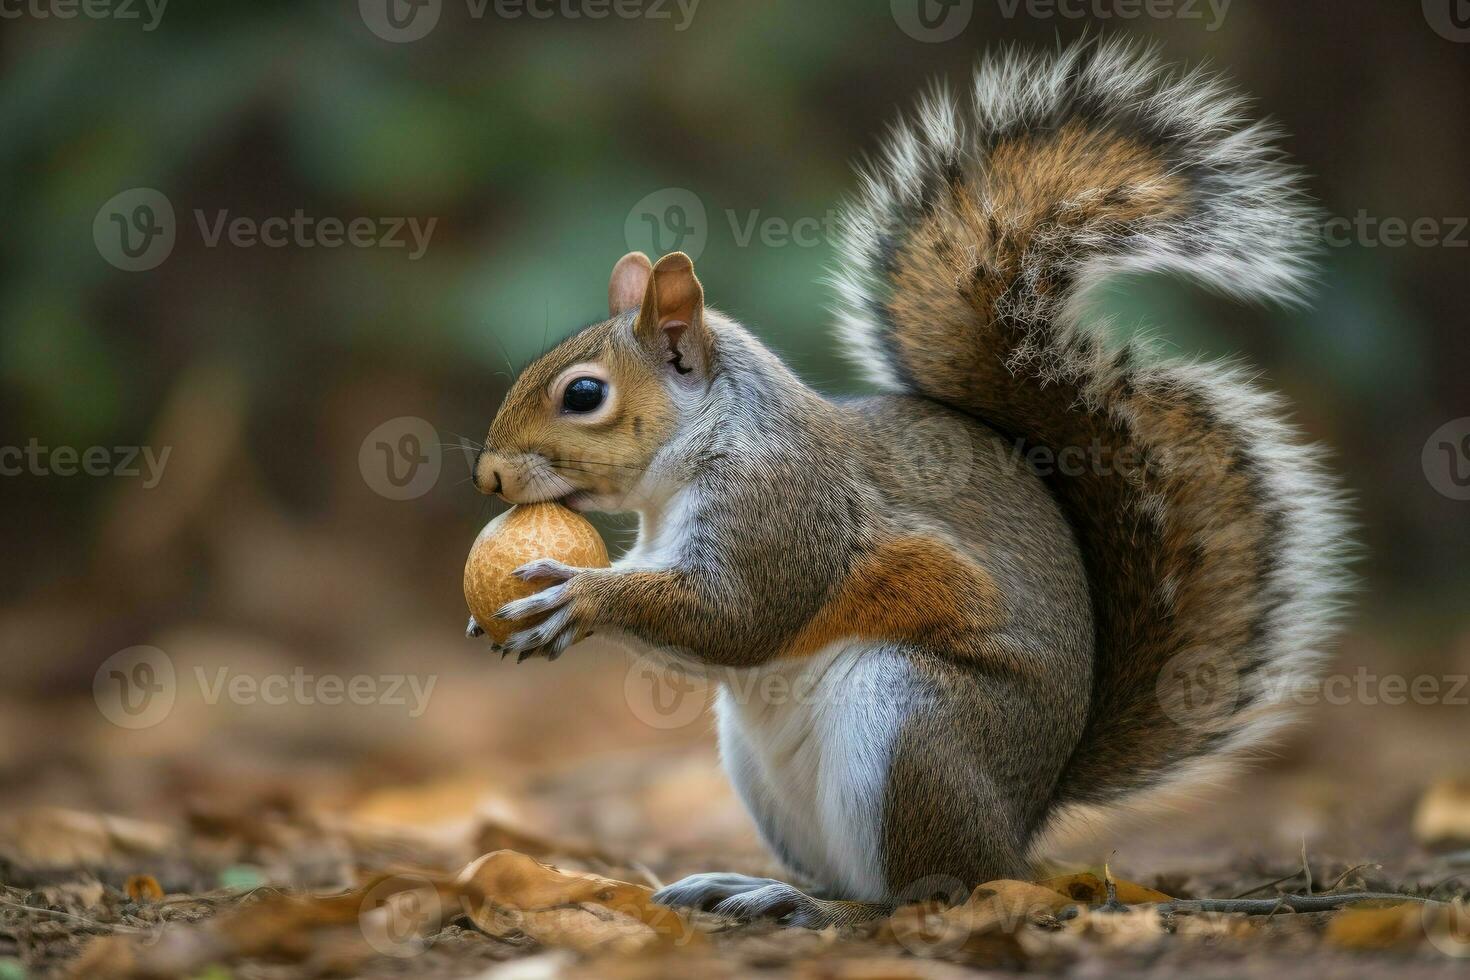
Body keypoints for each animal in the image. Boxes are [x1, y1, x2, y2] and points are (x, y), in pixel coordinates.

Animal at [470, 40, 1352, 928]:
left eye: (585, 394)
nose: (488, 474)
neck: (708, 441)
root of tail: (1023, 825)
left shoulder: (784, 506)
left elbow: (738, 617)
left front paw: (579, 597)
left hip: (911, 723)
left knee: (927, 892)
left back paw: (815, 909)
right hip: (770, 772)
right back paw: (755, 887)